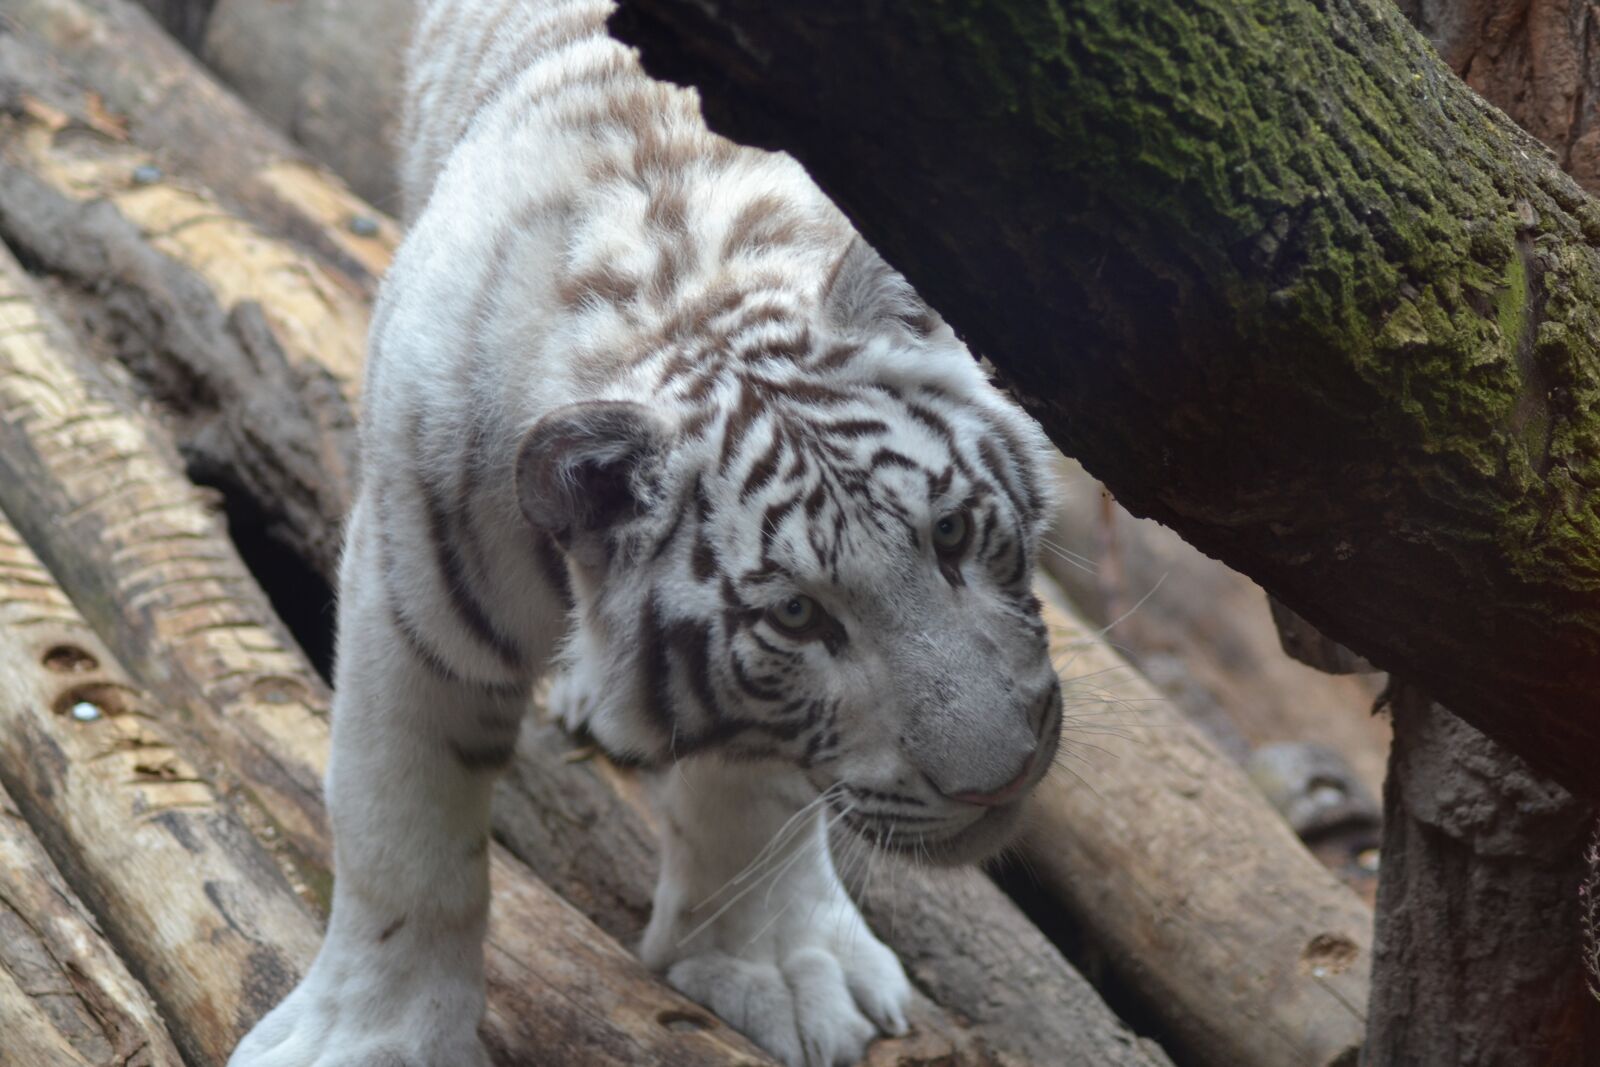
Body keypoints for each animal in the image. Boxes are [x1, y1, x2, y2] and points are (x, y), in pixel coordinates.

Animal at [229, 1, 1063, 1065]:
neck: (684, 288)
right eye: (798, 616)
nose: (998, 782)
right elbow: (399, 833)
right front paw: (373, 1038)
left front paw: (778, 969)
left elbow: (754, 797)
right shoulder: (411, 596)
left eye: (951, 532)